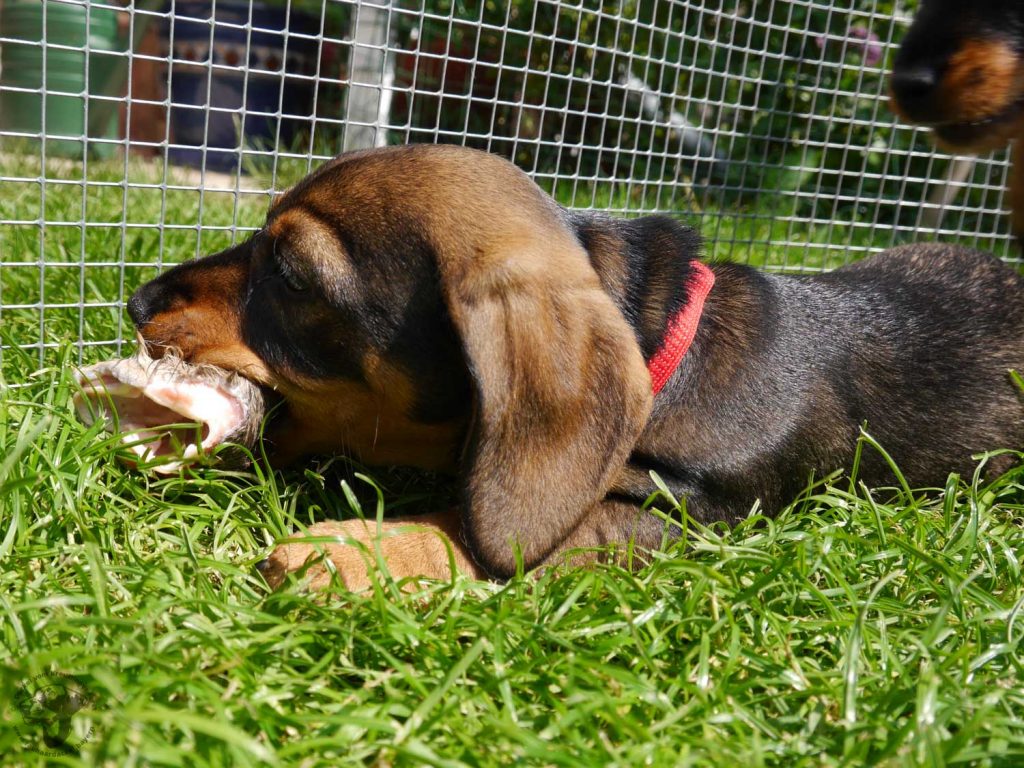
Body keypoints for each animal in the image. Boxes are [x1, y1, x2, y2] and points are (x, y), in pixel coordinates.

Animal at [125, 144, 1024, 589]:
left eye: (292, 276)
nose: (136, 301)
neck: (670, 354)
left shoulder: (693, 516)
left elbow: (515, 532)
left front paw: (350, 555)